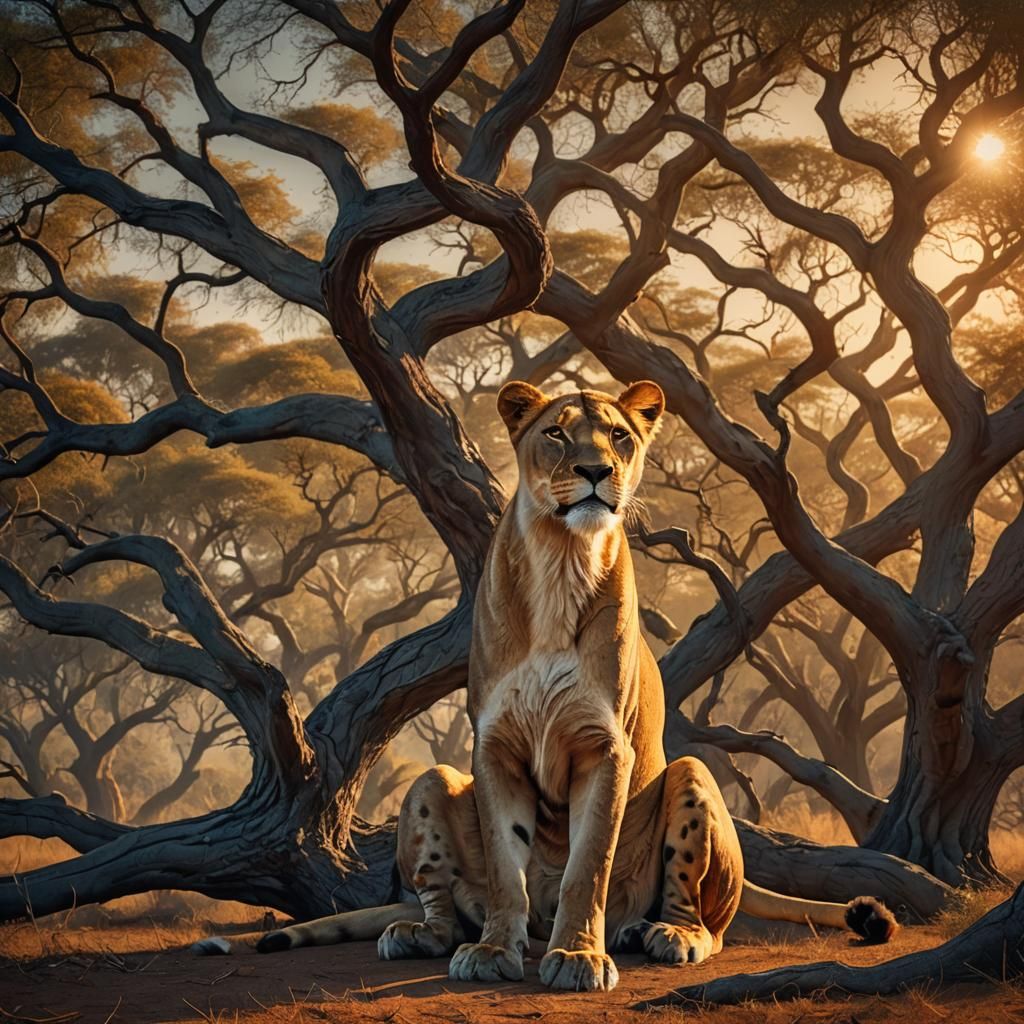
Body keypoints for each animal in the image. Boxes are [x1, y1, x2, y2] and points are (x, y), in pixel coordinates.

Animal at [194, 380, 895, 990]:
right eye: (556, 433)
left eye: (619, 436)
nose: (596, 470)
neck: (563, 559)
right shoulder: (494, 746)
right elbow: (509, 867)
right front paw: (492, 953)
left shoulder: (606, 748)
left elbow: (587, 865)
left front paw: (579, 957)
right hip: (431, 782)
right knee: (439, 900)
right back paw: (421, 935)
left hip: (692, 778)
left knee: (705, 916)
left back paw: (661, 935)